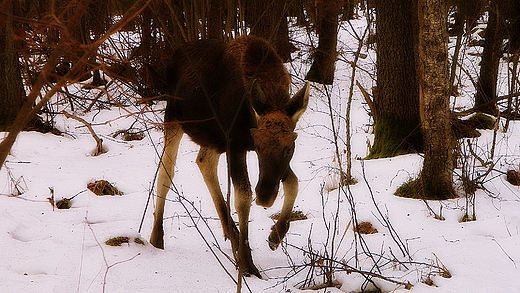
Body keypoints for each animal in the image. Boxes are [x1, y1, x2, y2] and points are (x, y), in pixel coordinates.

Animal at [150, 34, 310, 276]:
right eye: (258, 146)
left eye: (290, 147)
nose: (265, 197)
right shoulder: (235, 143)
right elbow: (243, 197)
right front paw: (247, 263)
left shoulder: (236, 143)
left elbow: (293, 182)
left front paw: (276, 235)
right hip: (174, 119)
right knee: (165, 172)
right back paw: (156, 239)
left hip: (213, 139)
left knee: (203, 161)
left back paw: (231, 234)